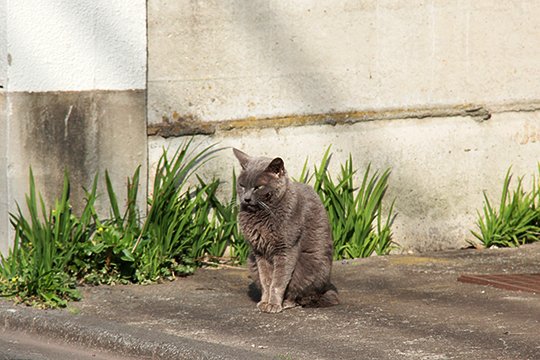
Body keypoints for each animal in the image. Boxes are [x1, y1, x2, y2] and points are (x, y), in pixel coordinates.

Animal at [232, 148, 338, 312]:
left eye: (258, 187)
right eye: (242, 185)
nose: (246, 198)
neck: (261, 215)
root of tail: (326, 287)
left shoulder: (286, 248)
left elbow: (278, 281)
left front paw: (274, 304)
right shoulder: (259, 251)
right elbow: (266, 280)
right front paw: (265, 302)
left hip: (309, 267)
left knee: (301, 294)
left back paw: (287, 303)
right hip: (251, 263)